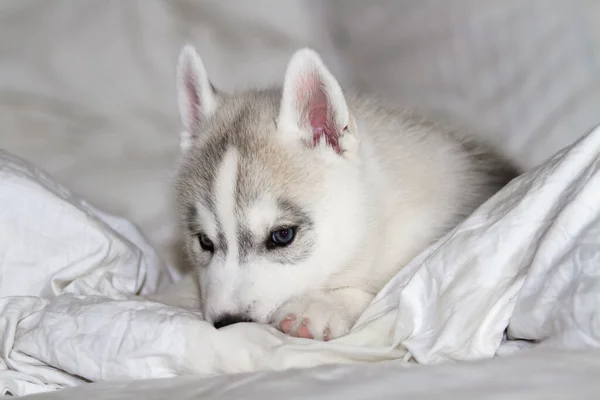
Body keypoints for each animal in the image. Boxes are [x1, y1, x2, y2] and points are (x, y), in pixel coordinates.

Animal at [171, 44, 516, 340]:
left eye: (282, 236)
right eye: (204, 241)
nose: (228, 322)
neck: (376, 217)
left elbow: (382, 290)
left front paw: (319, 306)